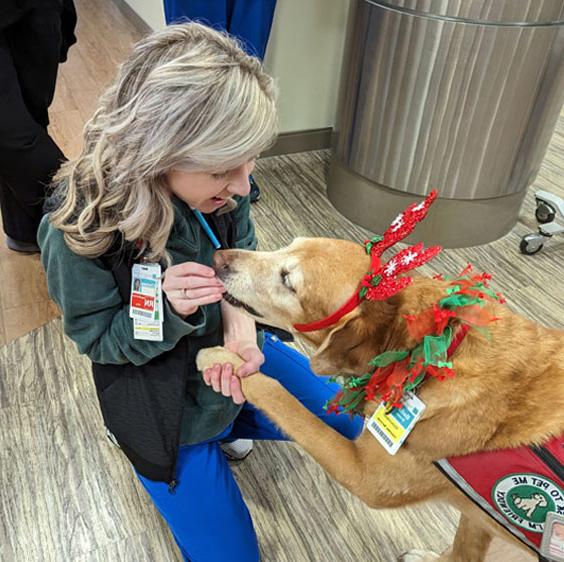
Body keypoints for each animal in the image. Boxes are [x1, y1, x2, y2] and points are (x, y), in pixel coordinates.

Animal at [195, 237, 564, 560]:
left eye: (288, 279)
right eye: (288, 245)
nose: (218, 256)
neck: (428, 351)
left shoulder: (365, 477)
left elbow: (280, 396)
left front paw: (222, 360)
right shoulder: (477, 518)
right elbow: (463, 553)